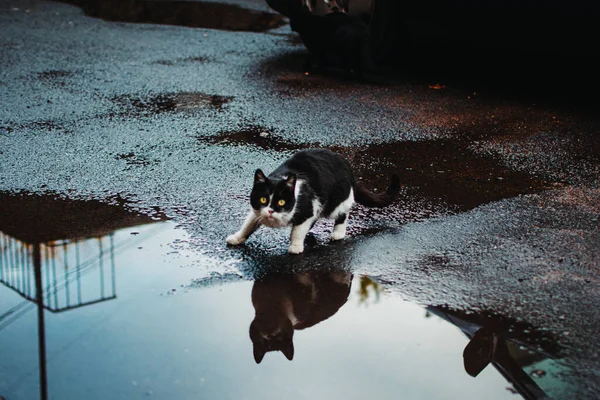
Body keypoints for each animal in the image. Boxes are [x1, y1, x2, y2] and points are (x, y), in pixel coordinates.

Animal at [225, 148, 398, 255]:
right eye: (263, 199)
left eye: (281, 202)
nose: (270, 211)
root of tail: (349, 168)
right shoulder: (257, 211)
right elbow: (248, 224)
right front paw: (237, 238)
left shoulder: (307, 209)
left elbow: (297, 231)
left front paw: (295, 246)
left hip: (335, 203)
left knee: (344, 212)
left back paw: (338, 233)